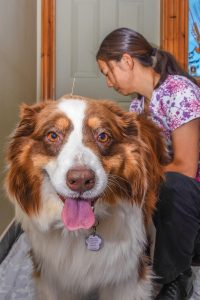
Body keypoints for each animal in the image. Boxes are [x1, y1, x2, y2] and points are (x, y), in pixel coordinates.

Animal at [5, 96, 166, 300]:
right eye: (53, 135)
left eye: (103, 136)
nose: (81, 180)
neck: (78, 232)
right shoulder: (52, 277)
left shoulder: (125, 279)